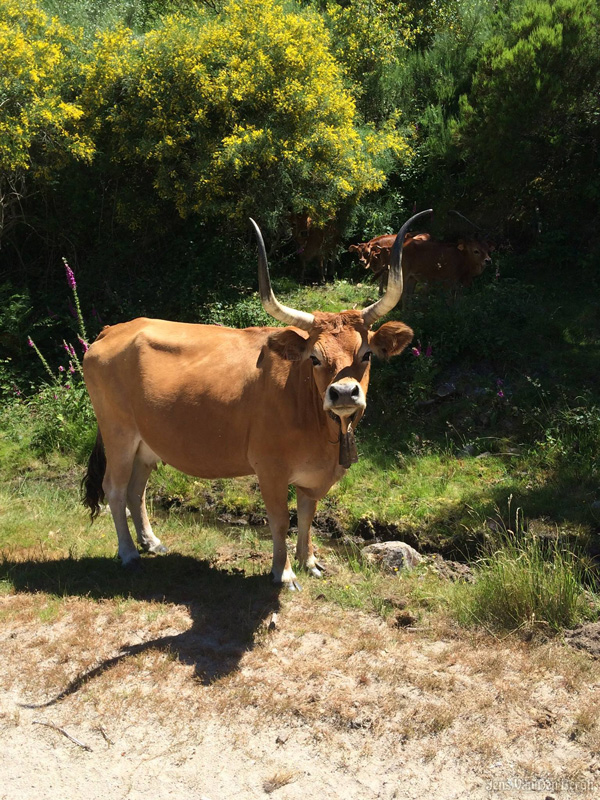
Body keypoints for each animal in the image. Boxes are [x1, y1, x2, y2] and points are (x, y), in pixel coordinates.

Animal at [83, 209, 432, 592]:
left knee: (136, 491)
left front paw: (309, 562)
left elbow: (307, 517)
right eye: (314, 358)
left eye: (366, 354)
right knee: (115, 489)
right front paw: (285, 573)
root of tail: (113, 330)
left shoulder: (313, 477)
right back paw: (129, 553)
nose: (343, 393)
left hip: (146, 443)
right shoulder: (270, 469)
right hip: (118, 434)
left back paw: (151, 542)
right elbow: (280, 520)